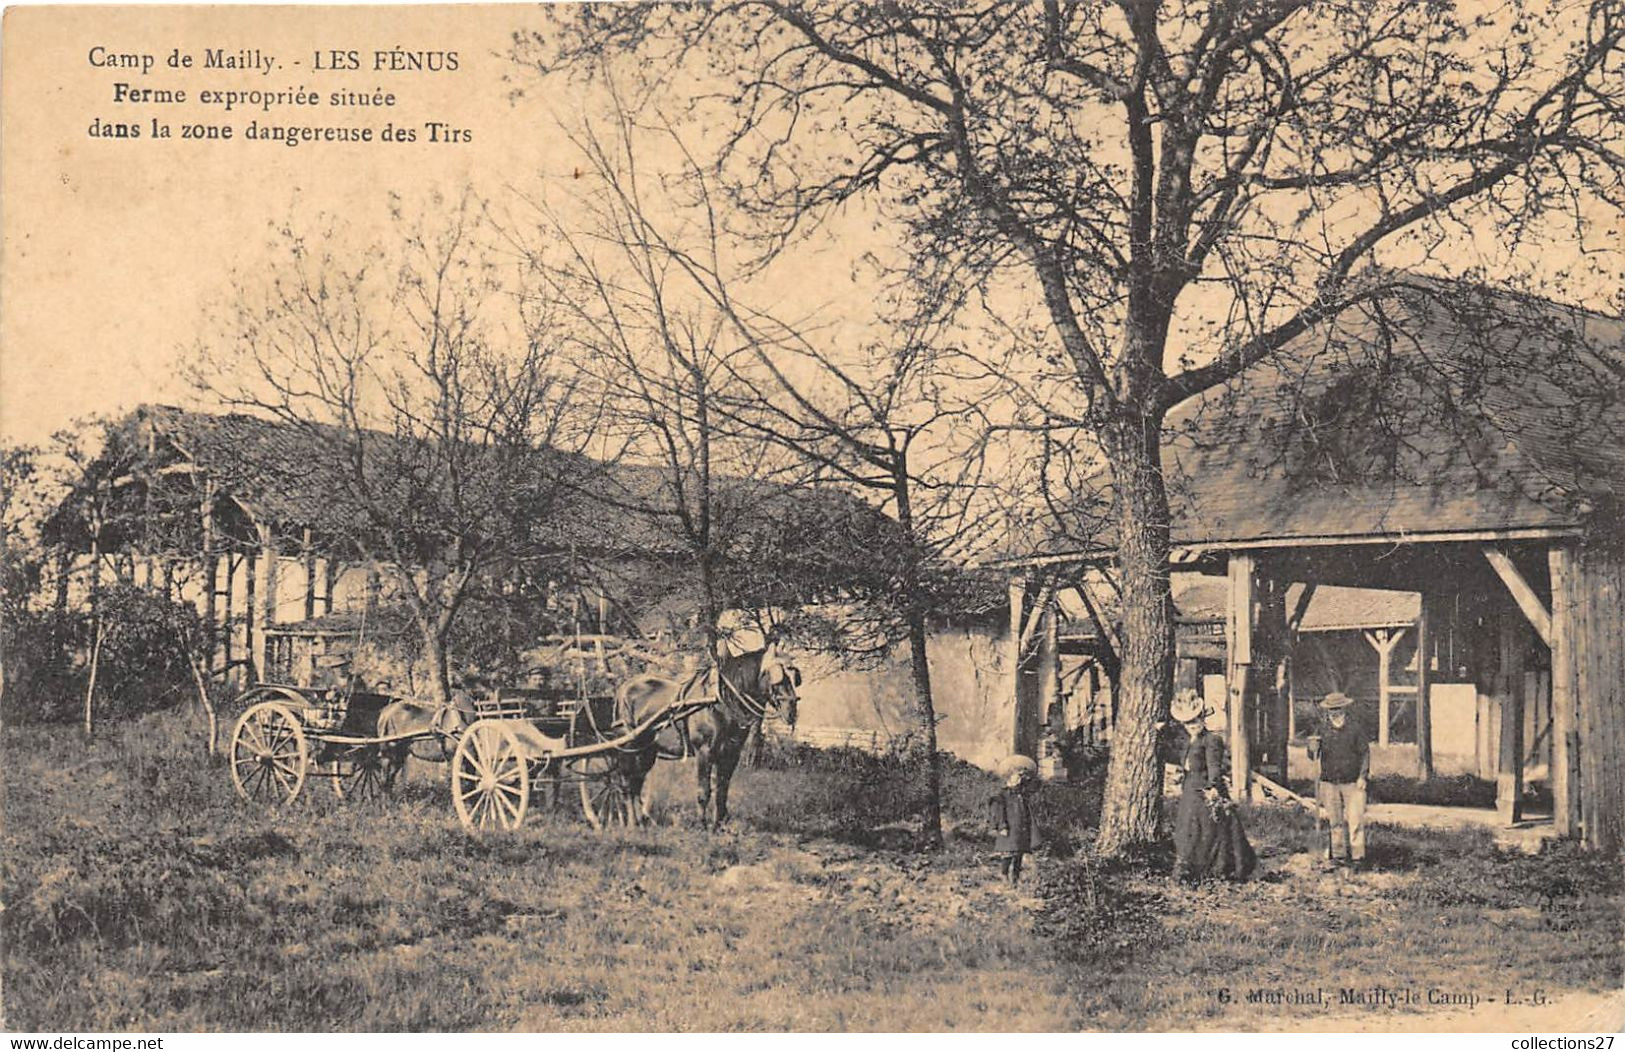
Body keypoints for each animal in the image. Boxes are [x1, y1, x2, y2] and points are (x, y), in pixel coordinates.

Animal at [611, 647, 799, 825]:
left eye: (795, 677)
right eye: (779, 676)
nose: (791, 711)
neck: (720, 702)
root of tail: (623, 688)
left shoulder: (731, 754)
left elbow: (722, 791)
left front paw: (719, 825)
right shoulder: (704, 752)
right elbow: (704, 792)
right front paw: (702, 825)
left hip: (647, 751)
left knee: (636, 782)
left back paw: (641, 821)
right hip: (629, 748)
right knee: (626, 783)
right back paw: (632, 823)